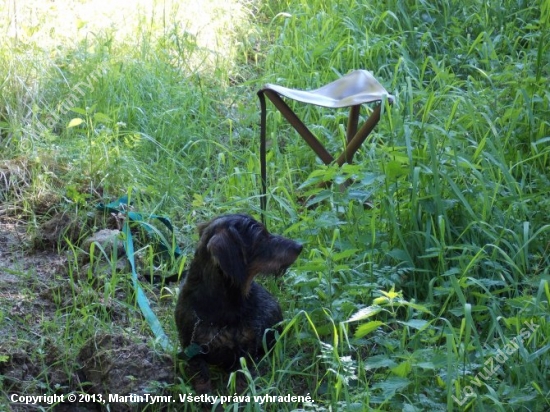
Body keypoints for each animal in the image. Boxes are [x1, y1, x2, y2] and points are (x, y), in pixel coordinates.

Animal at [176, 214, 302, 394]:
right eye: (261, 237)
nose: (300, 246)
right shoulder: (192, 347)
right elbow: (201, 379)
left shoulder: (247, 347)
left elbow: (242, 377)